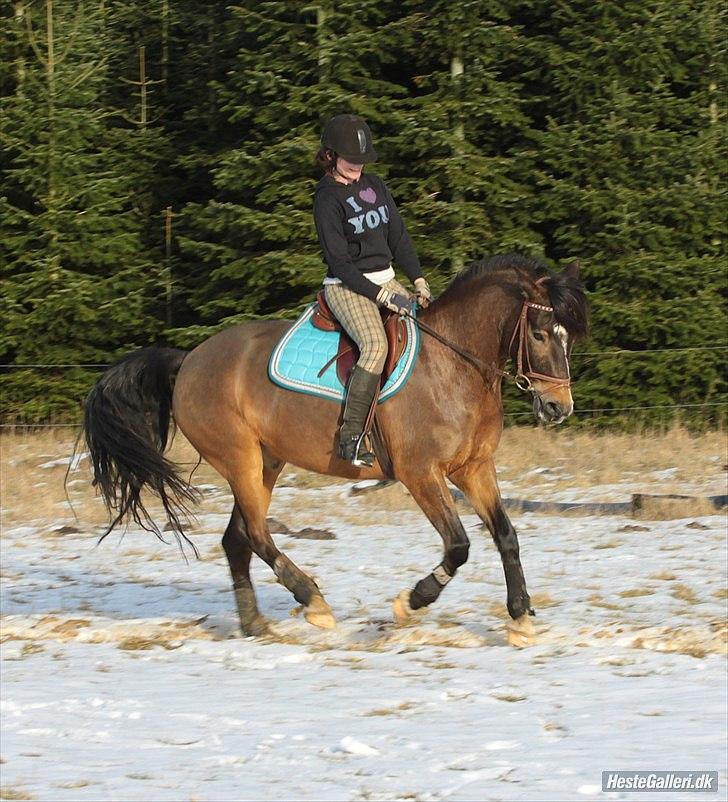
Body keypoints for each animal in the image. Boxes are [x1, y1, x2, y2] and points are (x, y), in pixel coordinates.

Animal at [82, 253, 588, 648]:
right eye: (540, 333)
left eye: (569, 335)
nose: (558, 408)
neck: (454, 365)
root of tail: (189, 359)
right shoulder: (420, 472)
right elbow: (459, 546)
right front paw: (411, 602)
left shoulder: (474, 468)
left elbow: (506, 535)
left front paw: (520, 618)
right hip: (241, 459)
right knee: (257, 535)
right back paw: (313, 601)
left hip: (267, 462)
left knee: (237, 540)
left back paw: (255, 625)